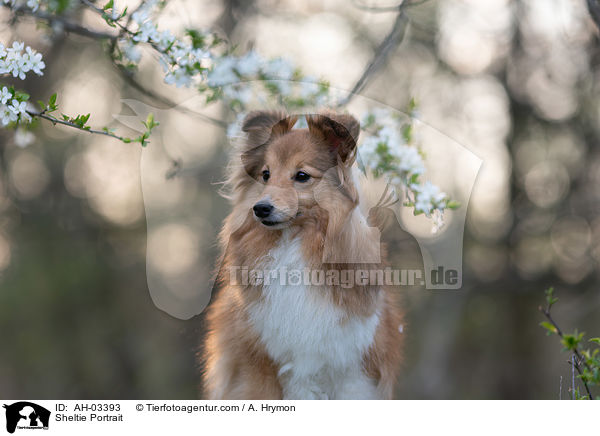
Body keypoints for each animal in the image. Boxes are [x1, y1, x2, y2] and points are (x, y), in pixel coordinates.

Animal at [202, 110, 404, 400]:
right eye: (265, 174)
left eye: (301, 175)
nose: (260, 208)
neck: (294, 242)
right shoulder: (260, 366)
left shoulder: (350, 368)